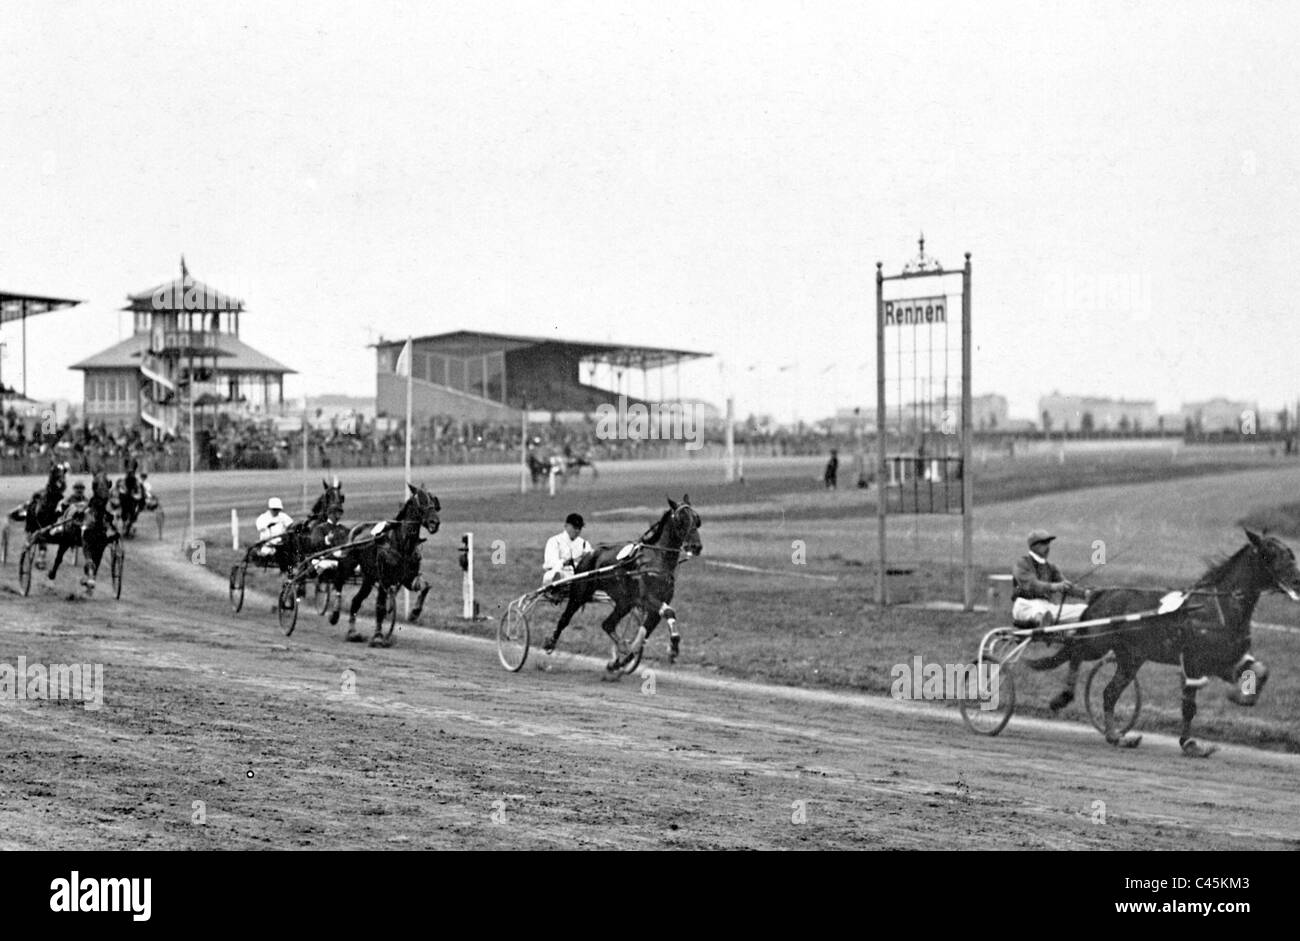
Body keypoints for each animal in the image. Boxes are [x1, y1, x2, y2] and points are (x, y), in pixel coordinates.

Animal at [325, 486, 441, 647]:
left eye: (433, 501)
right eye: (421, 501)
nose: (434, 522)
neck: (401, 544)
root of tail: (357, 530)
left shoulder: (408, 578)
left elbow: (425, 586)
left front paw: (415, 612)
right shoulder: (384, 580)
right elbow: (380, 607)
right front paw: (378, 636)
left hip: (368, 579)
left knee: (356, 601)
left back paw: (352, 633)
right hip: (348, 565)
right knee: (339, 582)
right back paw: (335, 614)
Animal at [538, 496, 702, 670]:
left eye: (697, 519)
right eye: (681, 520)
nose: (696, 546)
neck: (656, 559)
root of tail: (588, 554)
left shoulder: (657, 603)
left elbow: (644, 633)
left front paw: (626, 657)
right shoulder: (647, 598)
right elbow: (669, 612)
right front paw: (673, 649)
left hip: (624, 603)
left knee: (608, 624)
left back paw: (618, 655)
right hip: (579, 594)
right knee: (565, 618)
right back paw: (550, 642)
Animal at [1024, 530, 1300, 759]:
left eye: (1290, 552)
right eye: (1270, 552)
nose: (1297, 580)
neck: (1217, 607)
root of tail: (1101, 594)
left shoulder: (1226, 659)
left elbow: (1262, 671)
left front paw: (1241, 695)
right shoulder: (1193, 662)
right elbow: (1189, 706)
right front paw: (1190, 744)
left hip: (1131, 658)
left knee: (1109, 692)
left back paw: (1116, 736)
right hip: (1097, 642)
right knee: (1076, 652)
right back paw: (1063, 696)